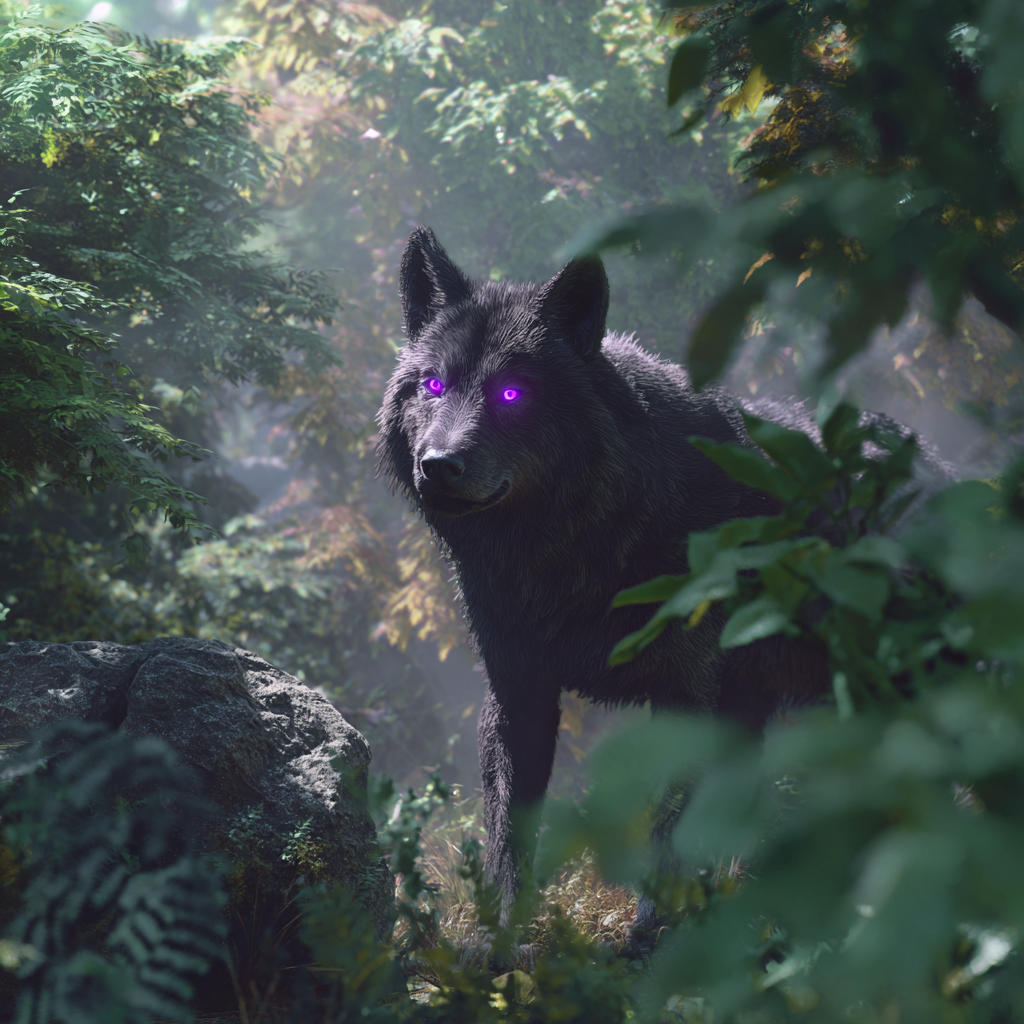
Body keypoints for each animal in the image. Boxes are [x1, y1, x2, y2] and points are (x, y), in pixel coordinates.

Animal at [377, 227, 839, 908]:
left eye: (511, 393)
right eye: (433, 385)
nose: (437, 465)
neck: (567, 556)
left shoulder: (685, 698)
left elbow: (668, 839)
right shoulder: (518, 694)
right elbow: (509, 844)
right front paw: (504, 938)